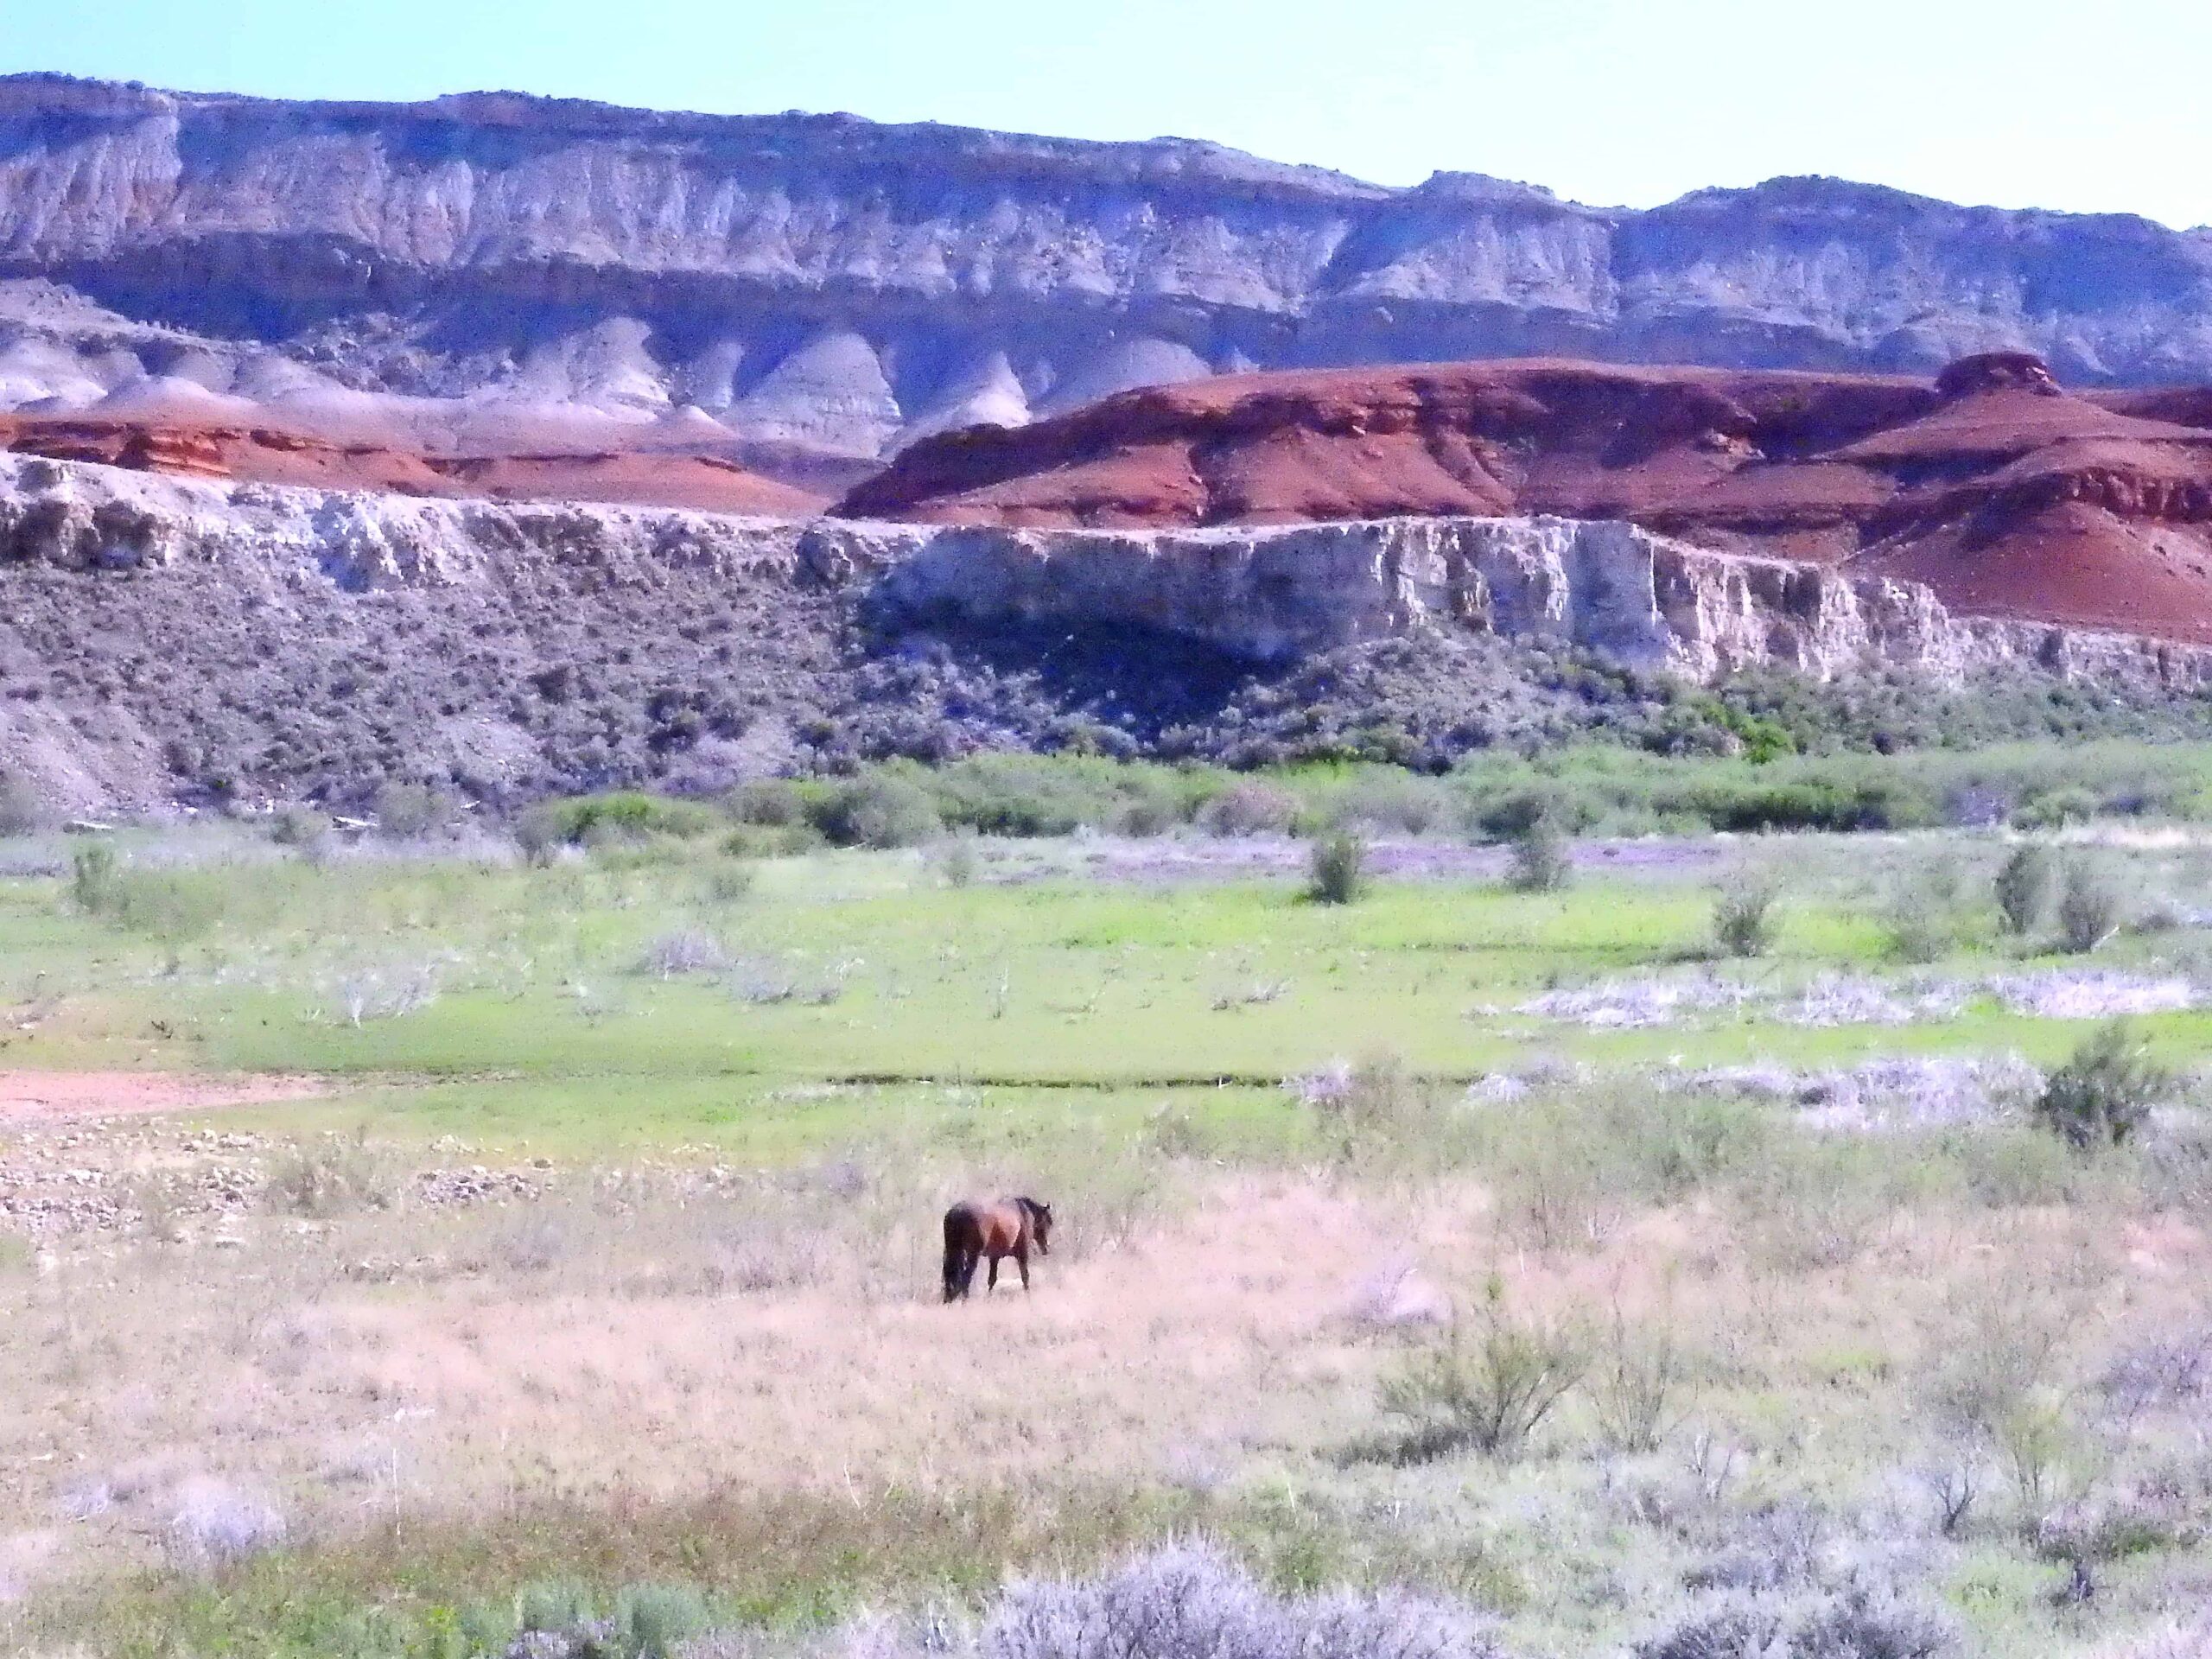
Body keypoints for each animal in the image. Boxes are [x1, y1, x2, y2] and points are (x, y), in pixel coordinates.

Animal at [941, 1196, 1052, 1301]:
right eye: (1048, 1222)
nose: (1046, 1248)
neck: (1023, 1211)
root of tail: (957, 1212)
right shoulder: (1022, 1254)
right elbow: (1025, 1277)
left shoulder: (994, 1257)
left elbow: (992, 1279)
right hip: (972, 1255)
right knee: (965, 1278)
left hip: (952, 1250)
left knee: (948, 1274)